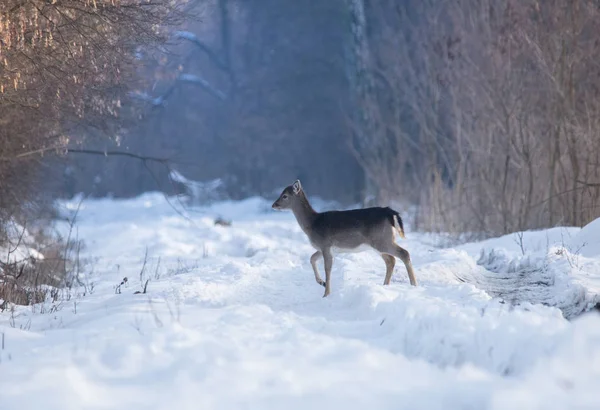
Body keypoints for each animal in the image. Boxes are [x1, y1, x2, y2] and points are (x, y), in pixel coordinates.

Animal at [272, 181, 418, 296]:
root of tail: (390, 213)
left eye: (285, 195)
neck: (313, 224)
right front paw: (321, 282)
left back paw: (414, 285)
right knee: (391, 260)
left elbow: (327, 268)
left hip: (382, 240)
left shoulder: (325, 244)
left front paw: (326, 293)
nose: (274, 205)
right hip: (380, 242)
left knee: (404, 253)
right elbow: (312, 258)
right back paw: (385, 285)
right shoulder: (323, 247)